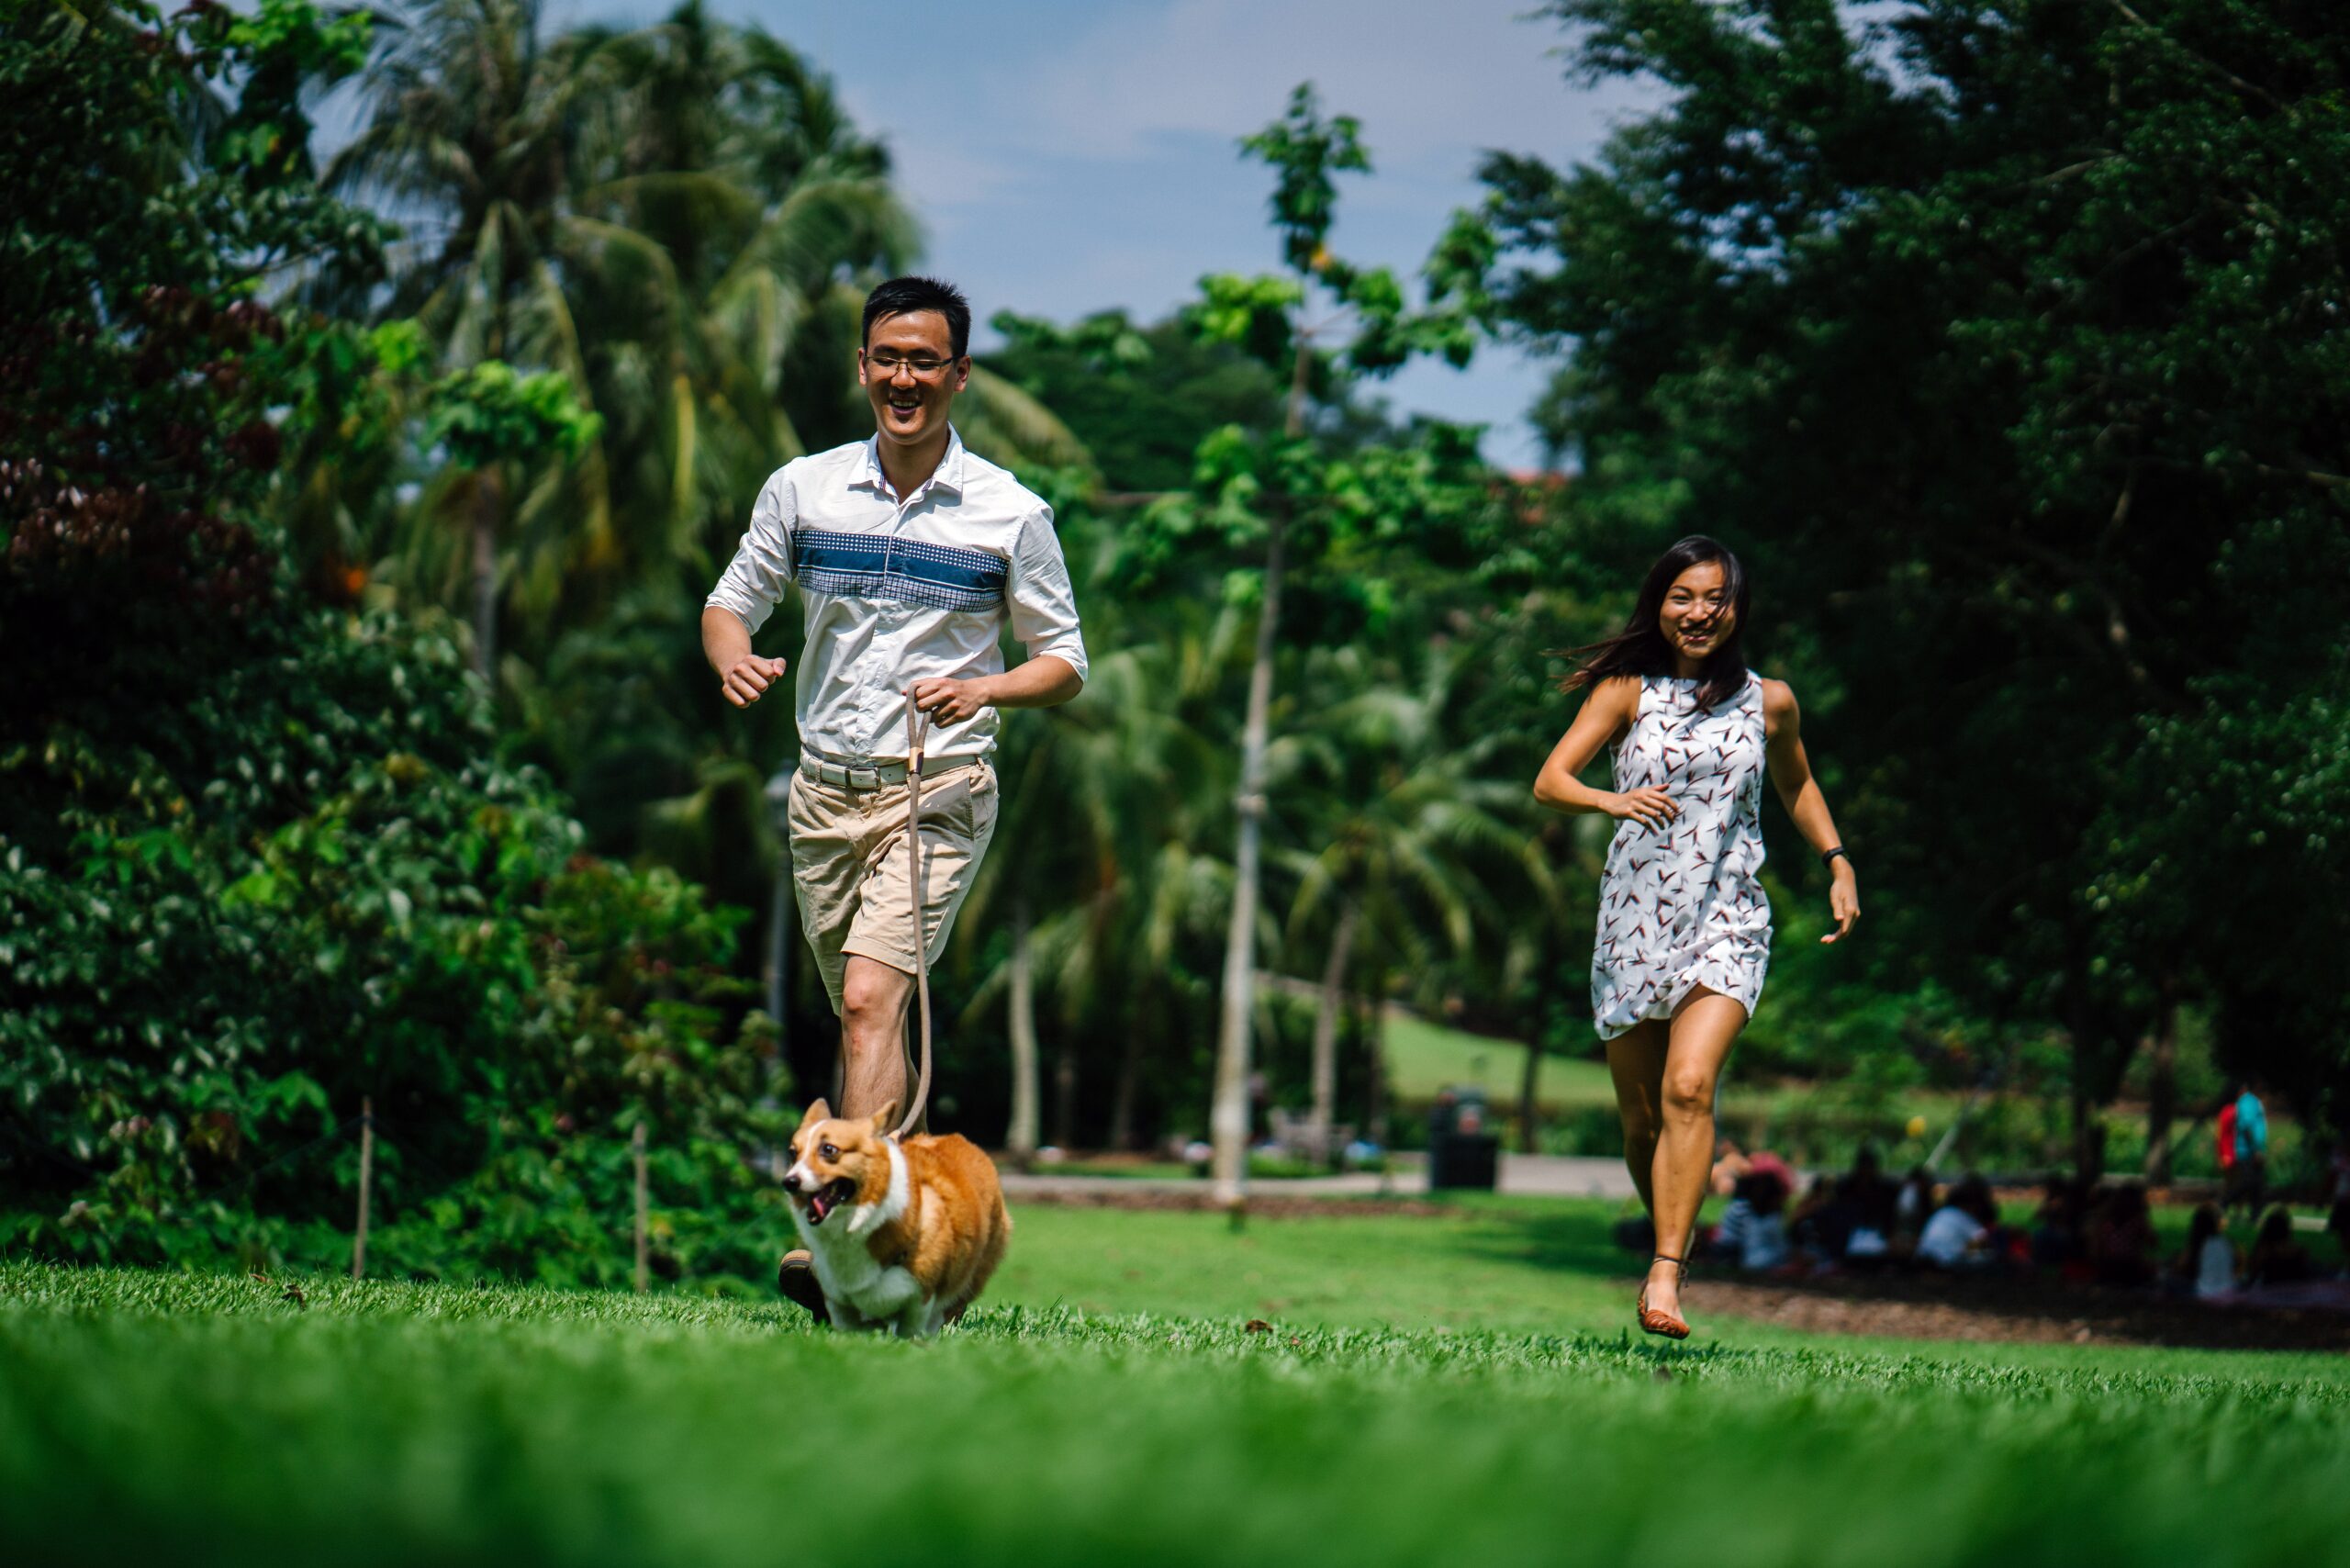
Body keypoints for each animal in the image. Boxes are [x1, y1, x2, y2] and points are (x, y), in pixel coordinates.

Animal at [779, 1100, 1010, 1344]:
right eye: (793, 1153)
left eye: (829, 1149)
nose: (789, 1182)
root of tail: (965, 1141)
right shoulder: (838, 1301)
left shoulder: (920, 1299)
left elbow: (913, 1327)